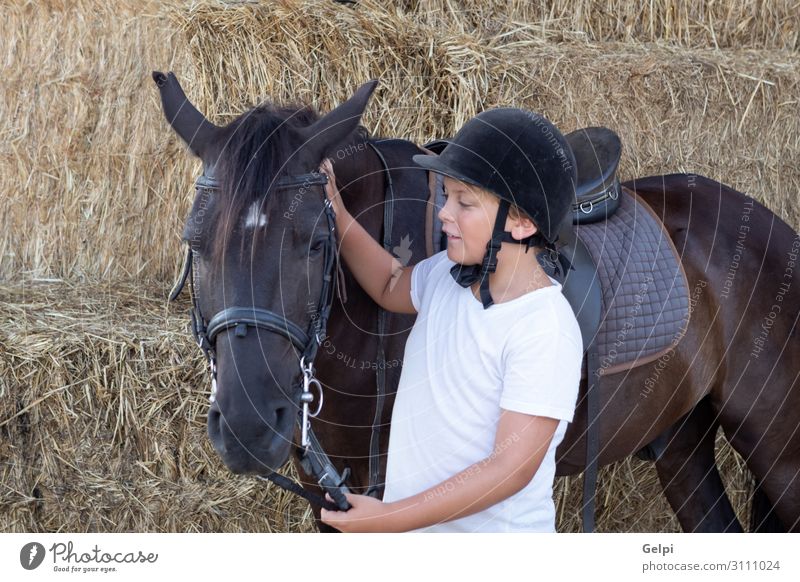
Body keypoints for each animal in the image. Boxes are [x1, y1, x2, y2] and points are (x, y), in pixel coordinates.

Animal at [153, 73, 796, 532]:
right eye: (195, 242)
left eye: (314, 241)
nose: (248, 425)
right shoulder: (333, 500)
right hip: (681, 440)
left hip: (779, 453)